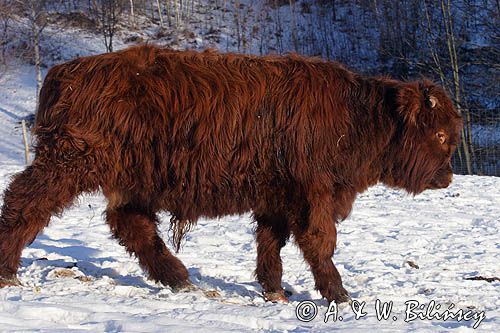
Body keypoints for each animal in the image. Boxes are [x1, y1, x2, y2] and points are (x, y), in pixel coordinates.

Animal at [0, 45, 460, 302]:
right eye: (439, 133)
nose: (447, 178)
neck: (357, 118)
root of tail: (66, 71)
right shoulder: (314, 194)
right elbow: (319, 242)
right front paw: (339, 295)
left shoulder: (278, 196)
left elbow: (271, 243)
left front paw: (275, 290)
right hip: (69, 163)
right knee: (25, 201)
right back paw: (7, 271)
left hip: (130, 178)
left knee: (132, 226)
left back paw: (181, 280)